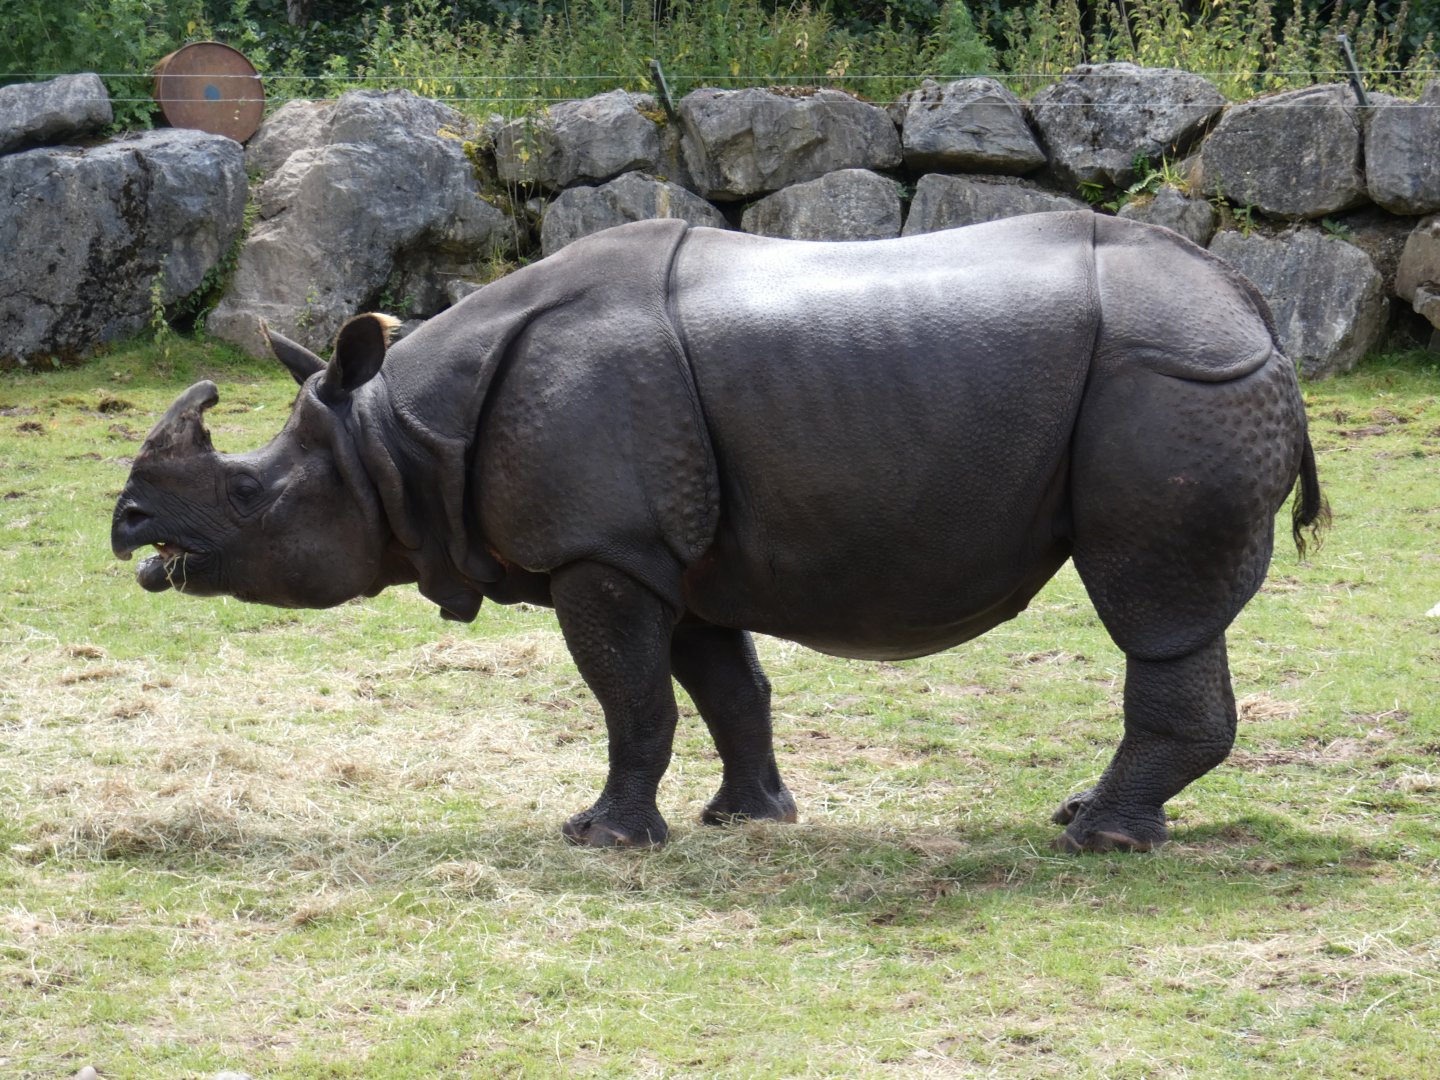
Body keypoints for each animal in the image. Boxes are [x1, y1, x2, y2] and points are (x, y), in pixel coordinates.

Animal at [112, 212, 1326, 852]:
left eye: (251, 495)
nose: (129, 528)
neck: (400, 440)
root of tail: (1258, 309)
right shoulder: (669, 554)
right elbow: (724, 687)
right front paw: (748, 819)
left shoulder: (604, 551)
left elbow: (630, 698)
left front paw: (600, 839)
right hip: (1184, 375)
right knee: (1175, 620)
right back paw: (1093, 819)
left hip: (1174, 380)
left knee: (1154, 614)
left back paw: (1090, 838)